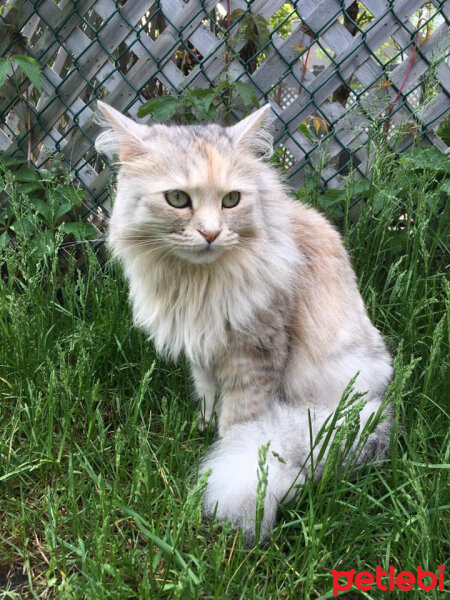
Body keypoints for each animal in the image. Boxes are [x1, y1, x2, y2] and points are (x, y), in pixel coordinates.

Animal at [96, 102, 394, 544]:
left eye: (232, 200)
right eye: (178, 199)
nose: (210, 233)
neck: (196, 283)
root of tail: (376, 403)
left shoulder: (255, 354)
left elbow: (239, 419)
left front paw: (226, 446)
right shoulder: (203, 348)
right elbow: (207, 394)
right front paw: (202, 425)